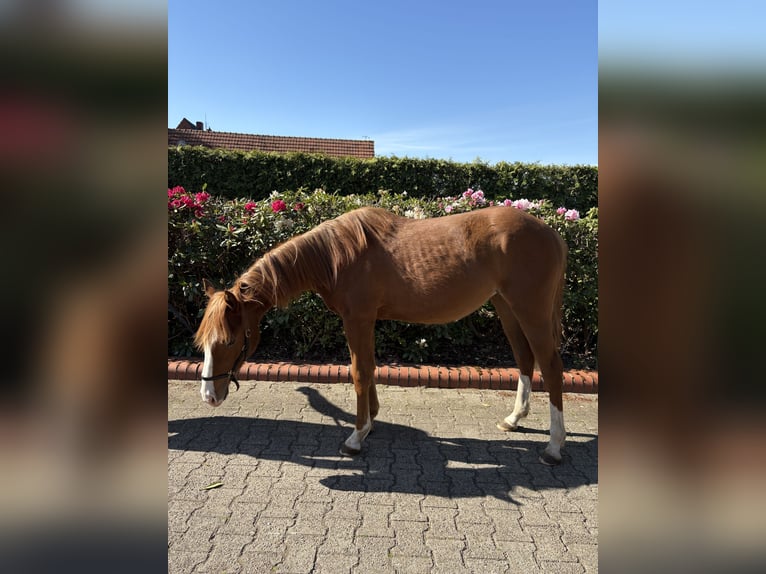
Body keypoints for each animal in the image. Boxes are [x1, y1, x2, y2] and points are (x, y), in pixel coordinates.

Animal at [194, 205, 569, 464]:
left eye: (228, 341)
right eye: (203, 342)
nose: (209, 396)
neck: (336, 256)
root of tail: (551, 233)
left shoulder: (357, 319)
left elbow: (359, 372)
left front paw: (356, 437)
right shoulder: (366, 321)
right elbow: (369, 368)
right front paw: (371, 419)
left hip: (529, 309)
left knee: (550, 366)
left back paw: (554, 447)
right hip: (506, 307)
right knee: (525, 359)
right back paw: (514, 419)